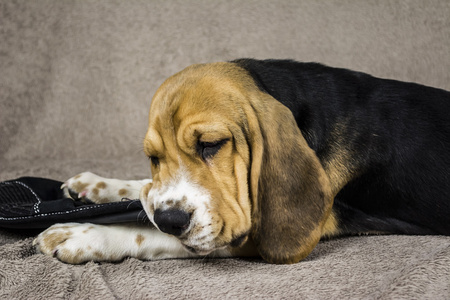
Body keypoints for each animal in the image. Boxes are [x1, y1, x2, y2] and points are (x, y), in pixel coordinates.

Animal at [34, 59, 450, 264]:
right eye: (153, 157)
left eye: (211, 145)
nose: (171, 219)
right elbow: (148, 194)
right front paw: (97, 185)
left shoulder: (253, 236)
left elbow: (149, 233)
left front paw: (83, 235)